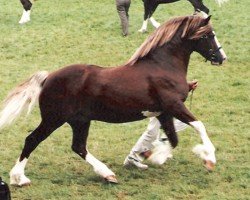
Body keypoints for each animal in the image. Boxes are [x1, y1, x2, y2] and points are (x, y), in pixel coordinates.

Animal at [0, 14, 227, 186]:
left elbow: (173, 139)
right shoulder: (174, 106)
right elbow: (199, 125)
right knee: (32, 140)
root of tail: (48, 77)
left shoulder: (163, 113)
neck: (163, 66)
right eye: (209, 34)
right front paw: (209, 159)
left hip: (80, 121)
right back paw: (19, 178)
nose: (221, 58)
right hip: (53, 119)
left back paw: (108, 174)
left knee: (78, 147)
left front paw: (152, 156)